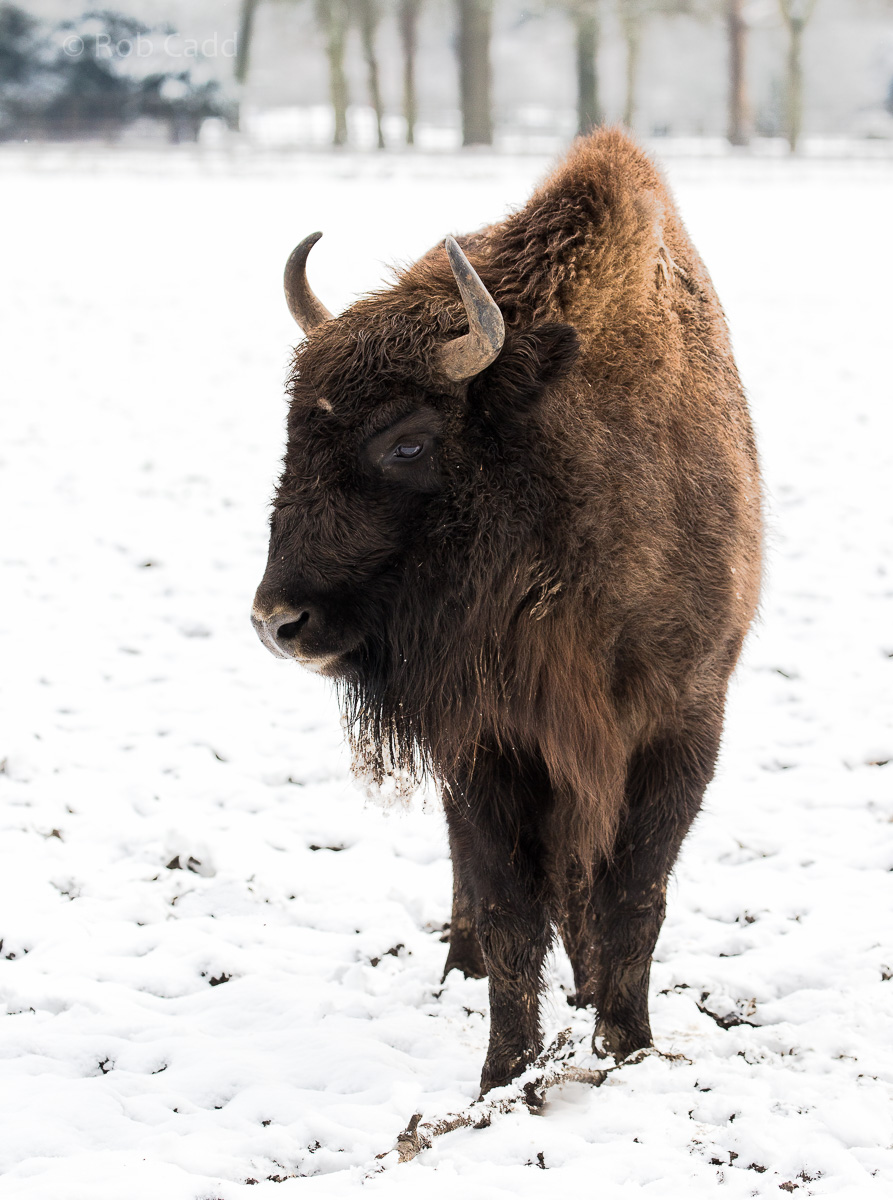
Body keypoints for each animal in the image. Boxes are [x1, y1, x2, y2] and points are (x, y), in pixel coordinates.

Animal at [252, 128, 762, 1099]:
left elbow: (635, 892)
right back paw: (460, 968)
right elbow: (507, 908)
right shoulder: (488, 739)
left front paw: (625, 1045)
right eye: (293, 435)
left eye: (407, 441)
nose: (278, 621)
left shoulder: (684, 719)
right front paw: (502, 1076)